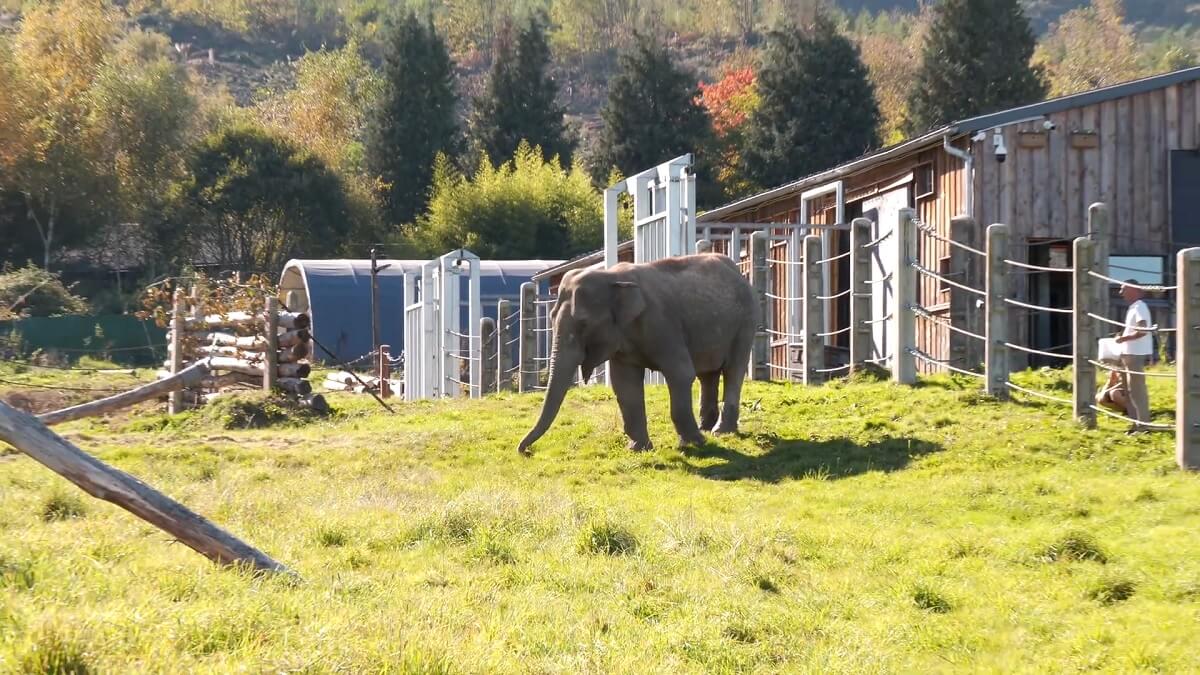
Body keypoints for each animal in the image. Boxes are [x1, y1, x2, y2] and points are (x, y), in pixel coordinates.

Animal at [517, 253, 758, 454]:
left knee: (733, 370)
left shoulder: (663, 324)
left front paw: (693, 444)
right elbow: (625, 384)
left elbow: (681, 374)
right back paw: (706, 428)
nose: (526, 451)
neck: (612, 277)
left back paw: (719, 431)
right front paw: (638, 449)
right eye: (551, 316)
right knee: (708, 374)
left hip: (746, 321)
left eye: (584, 323)